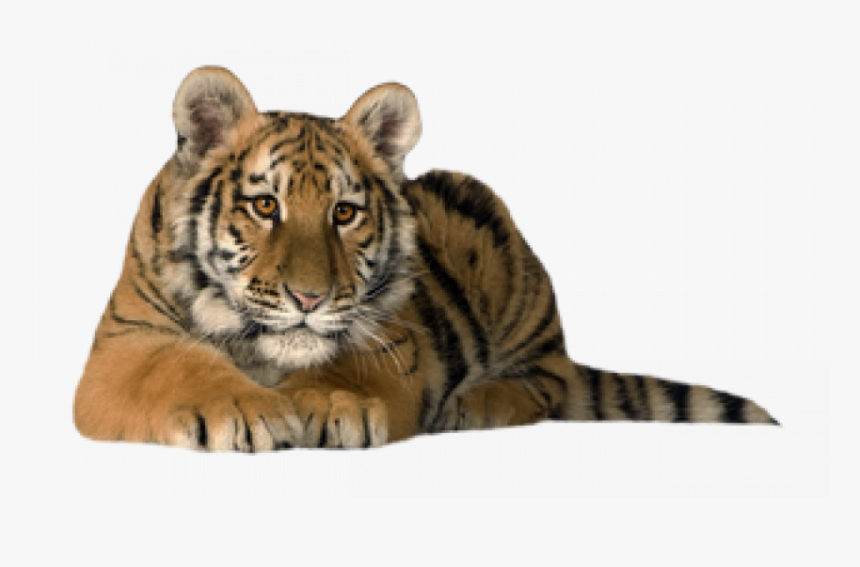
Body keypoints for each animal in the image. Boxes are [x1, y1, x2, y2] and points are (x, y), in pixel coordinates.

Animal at [73, 66, 778, 451]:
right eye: (266, 206)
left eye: (344, 213)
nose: (309, 299)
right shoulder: (124, 344)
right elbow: (177, 366)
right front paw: (244, 409)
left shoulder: (395, 339)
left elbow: (347, 366)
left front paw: (327, 404)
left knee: (548, 380)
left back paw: (478, 404)